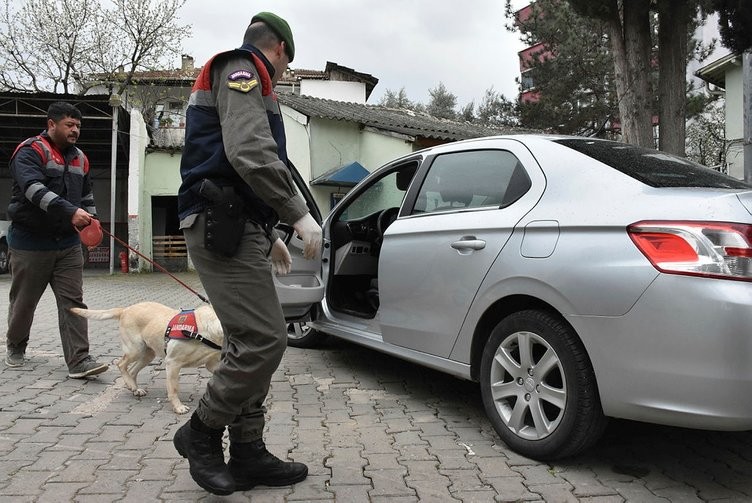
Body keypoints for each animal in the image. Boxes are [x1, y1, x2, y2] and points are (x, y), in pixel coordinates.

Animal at [70, 302, 223, 416]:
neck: (204, 332)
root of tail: (125, 309)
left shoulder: (211, 363)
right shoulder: (172, 363)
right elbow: (173, 389)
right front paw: (178, 407)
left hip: (148, 354)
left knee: (132, 370)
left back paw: (135, 388)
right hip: (135, 349)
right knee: (121, 363)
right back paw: (130, 384)